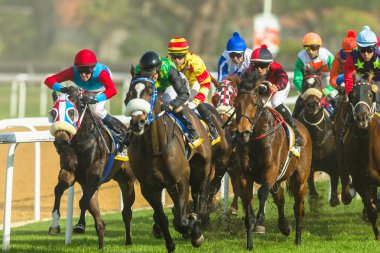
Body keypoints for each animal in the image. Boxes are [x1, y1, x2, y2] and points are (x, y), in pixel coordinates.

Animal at [48, 87, 135, 249]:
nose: (61, 142)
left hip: (127, 181)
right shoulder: (69, 172)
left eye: (71, 112)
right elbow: (59, 190)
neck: (80, 142)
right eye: (53, 113)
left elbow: (83, 202)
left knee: (126, 212)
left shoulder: (94, 173)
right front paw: (55, 225)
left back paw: (128, 240)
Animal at [124, 72, 212, 252]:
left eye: (150, 92)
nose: (137, 122)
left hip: (202, 169)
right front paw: (170, 243)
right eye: (129, 95)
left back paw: (196, 224)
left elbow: (182, 221)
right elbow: (162, 217)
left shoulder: (181, 179)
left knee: (200, 194)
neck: (154, 149)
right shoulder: (148, 187)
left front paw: (193, 231)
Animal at [235, 70, 312, 249]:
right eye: (236, 103)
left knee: (298, 207)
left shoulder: (270, 170)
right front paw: (250, 243)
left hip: (300, 179)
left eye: (254, 104)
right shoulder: (244, 175)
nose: (243, 132)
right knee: (281, 201)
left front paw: (260, 220)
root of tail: (304, 129)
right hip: (278, 182)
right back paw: (285, 227)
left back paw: (298, 238)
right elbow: (247, 202)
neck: (256, 137)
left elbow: (262, 192)